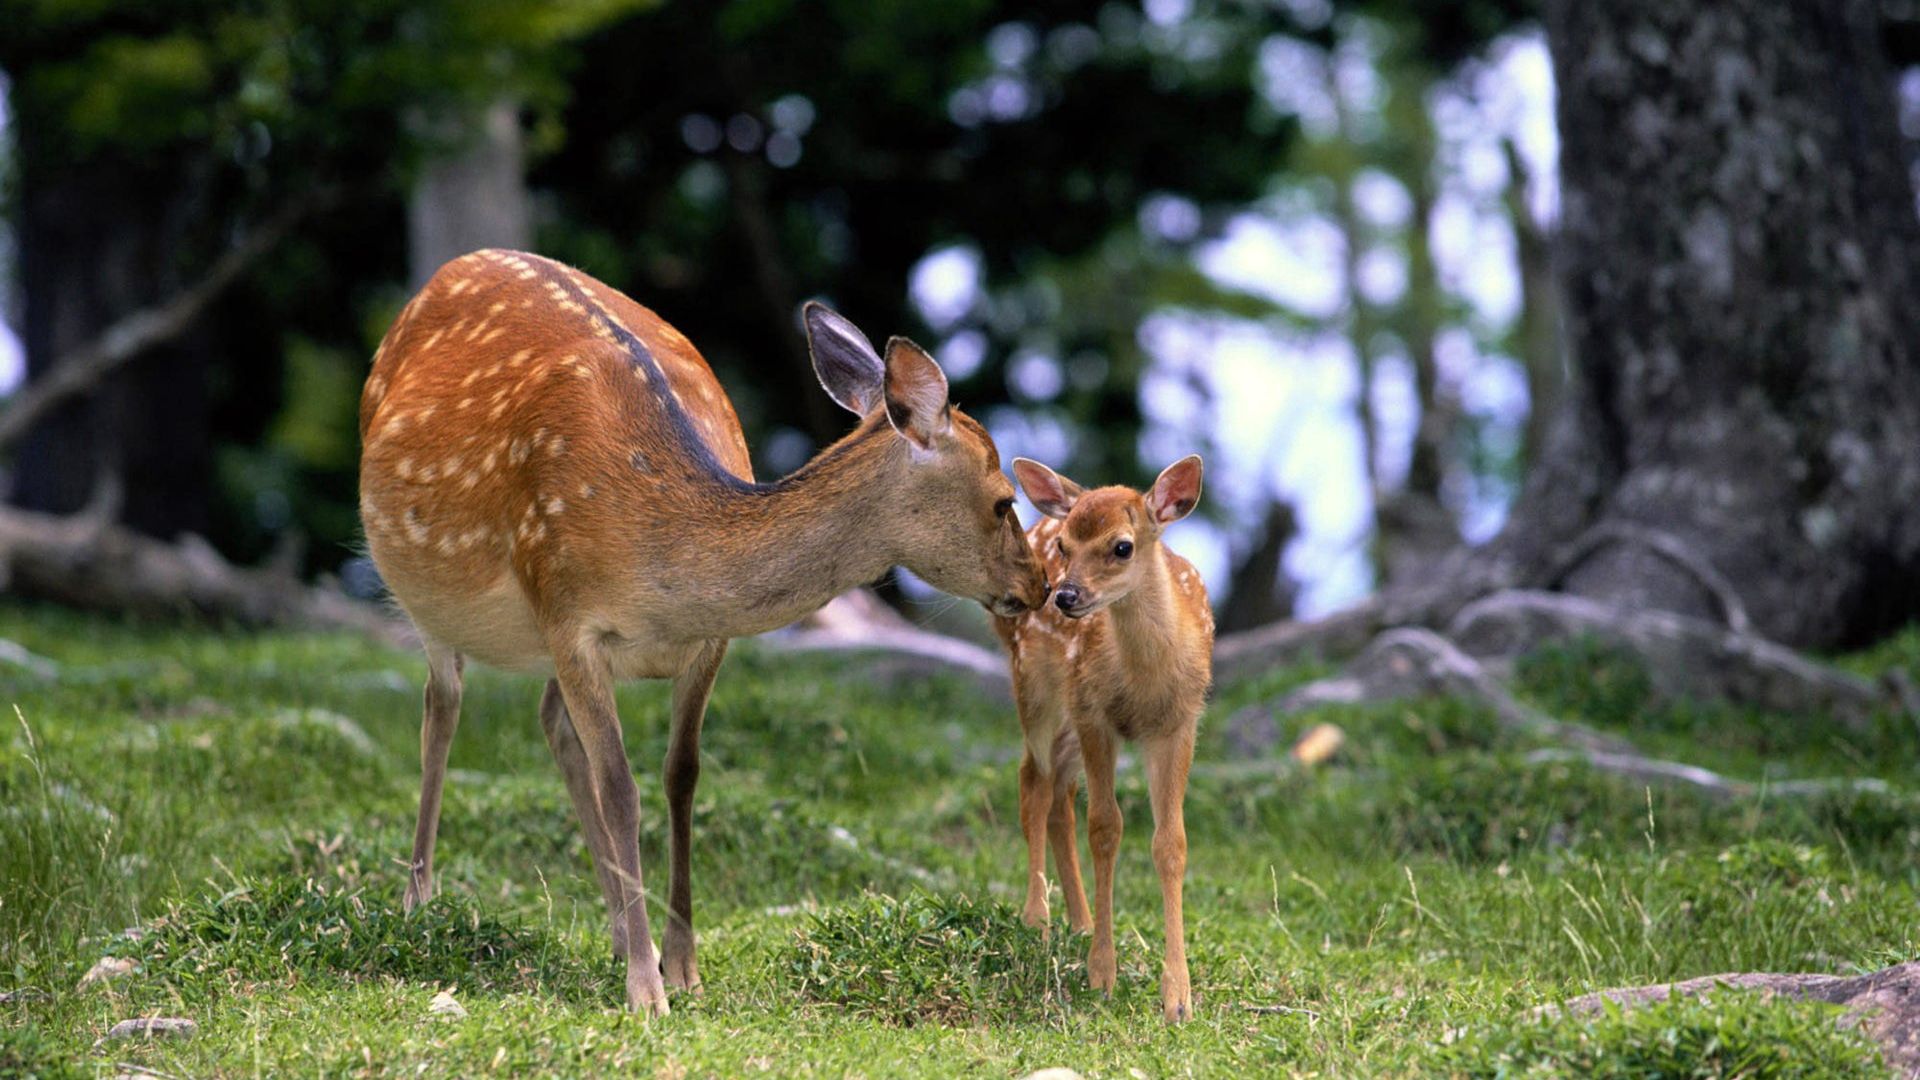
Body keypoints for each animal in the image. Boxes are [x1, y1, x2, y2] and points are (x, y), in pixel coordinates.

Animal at [360, 249, 1052, 1006]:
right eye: (1003, 501)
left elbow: (681, 775)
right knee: (442, 706)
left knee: (551, 721)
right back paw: (419, 902)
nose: (1040, 587)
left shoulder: (707, 643)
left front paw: (682, 965)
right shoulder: (568, 614)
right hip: (428, 594)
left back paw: (612, 927)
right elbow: (621, 788)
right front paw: (646, 990)